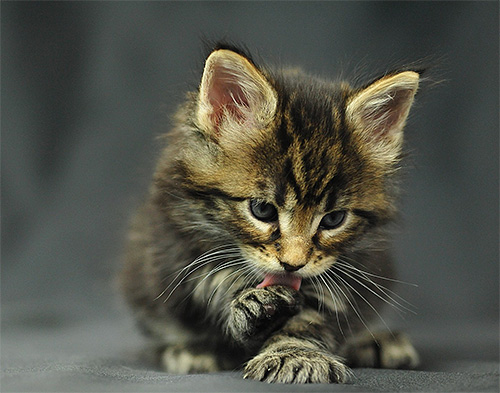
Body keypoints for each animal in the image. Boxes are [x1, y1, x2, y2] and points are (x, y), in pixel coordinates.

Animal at [119, 43, 420, 382]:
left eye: (333, 219)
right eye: (262, 210)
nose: (293, 265)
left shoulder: (352, 268)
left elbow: (311, 318)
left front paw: (295, 354)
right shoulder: (178, 245)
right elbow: (214, 285)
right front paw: (254, 307)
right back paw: (192, 351)